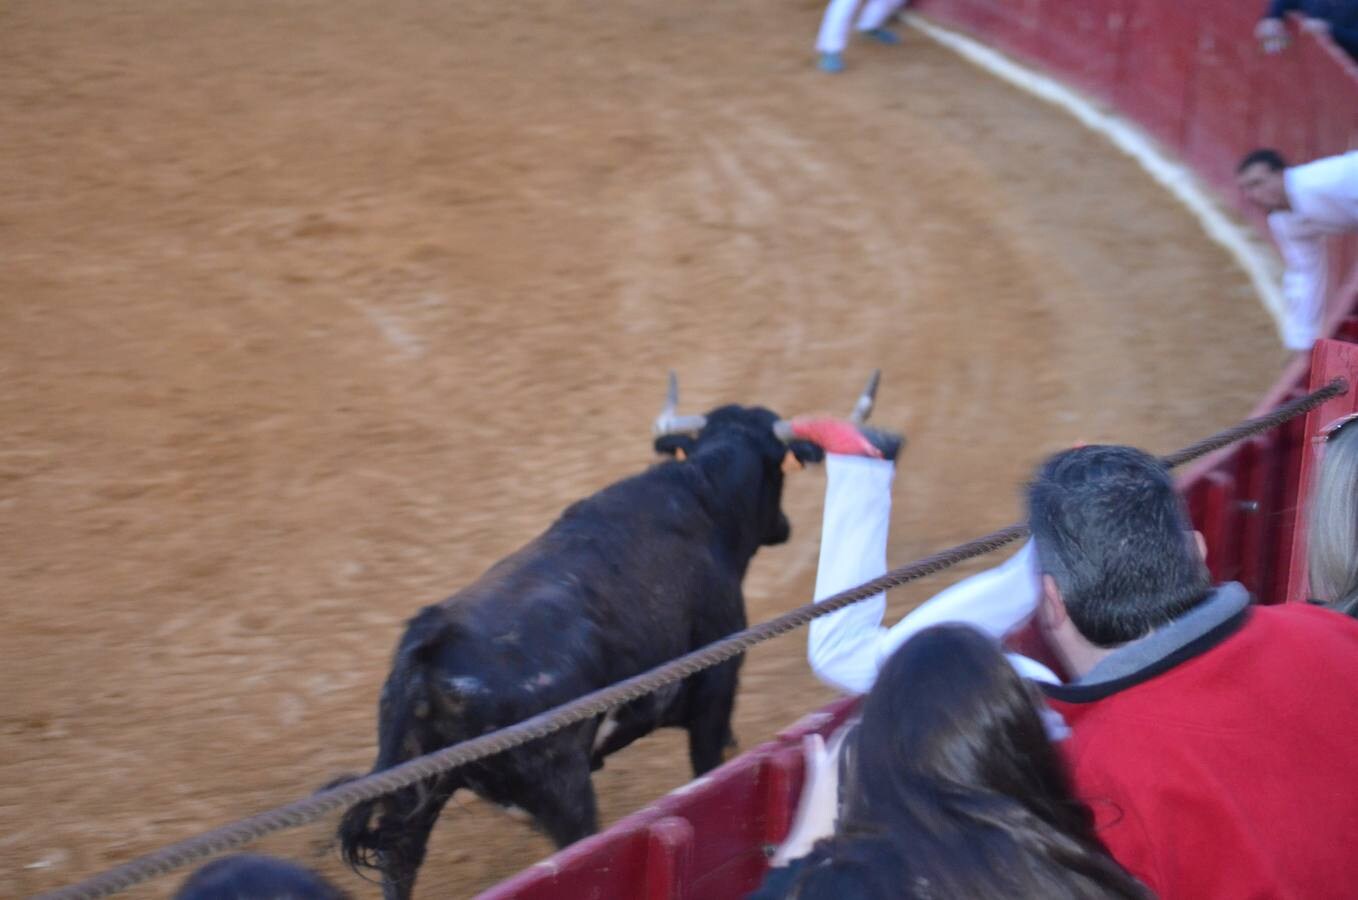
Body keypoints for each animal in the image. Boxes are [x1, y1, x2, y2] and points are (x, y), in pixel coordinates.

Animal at [339, 401, 825, 900]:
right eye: (781, 470)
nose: (784, 527)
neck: (703, 499)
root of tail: (431, 640)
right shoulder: (716, 688)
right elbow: (709, 770)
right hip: (565, 790)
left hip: (410, 795)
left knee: (400, 864)